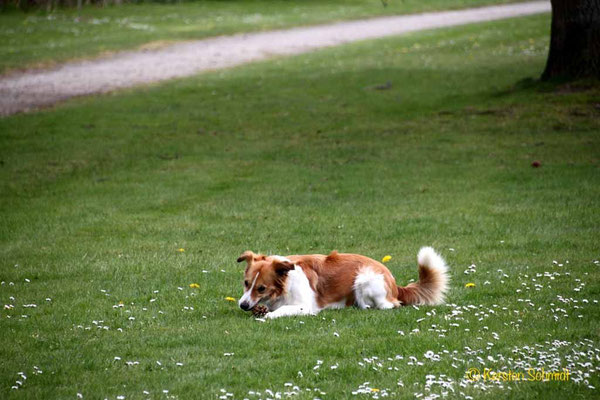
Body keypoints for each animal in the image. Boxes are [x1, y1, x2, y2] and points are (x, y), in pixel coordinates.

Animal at [237, 247, 448, 318]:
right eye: (246, 283)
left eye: (261, 288)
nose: (243, 305)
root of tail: (395, 285)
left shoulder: (306, 306)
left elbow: (282, 310)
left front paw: (268, 316)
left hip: (364, 279)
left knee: (387, 306)